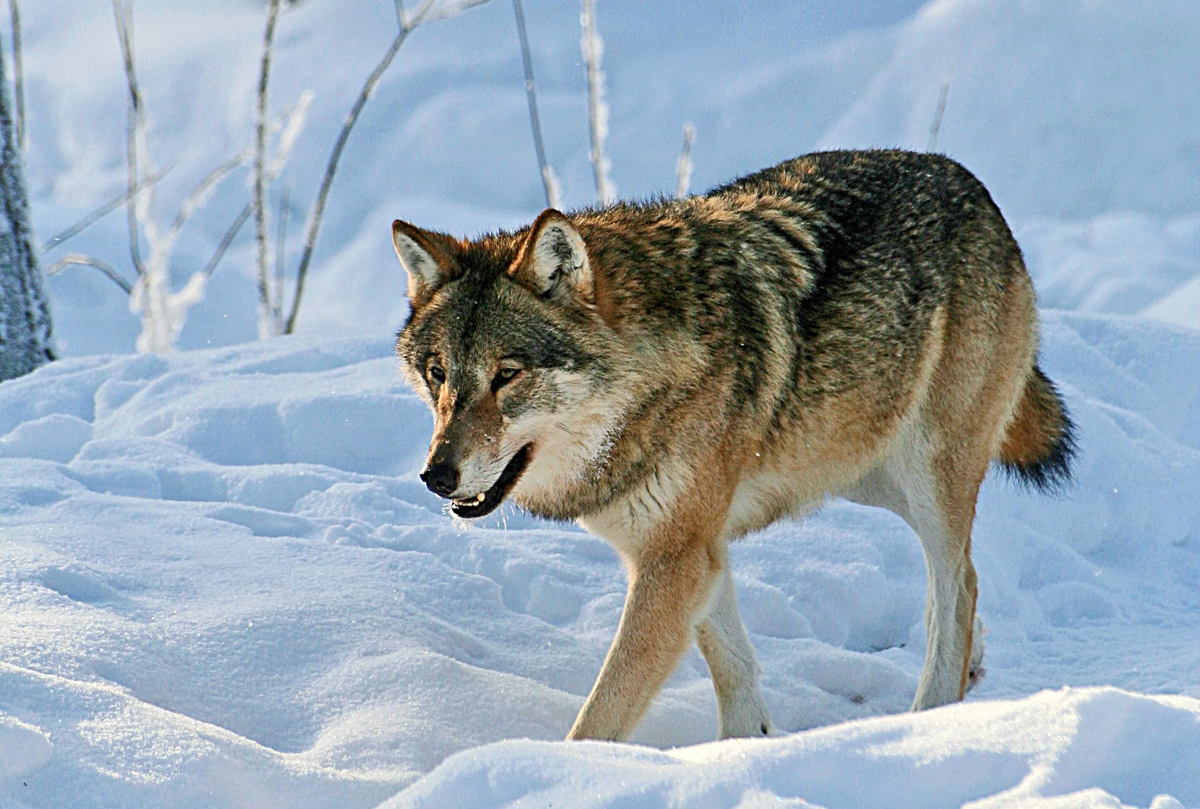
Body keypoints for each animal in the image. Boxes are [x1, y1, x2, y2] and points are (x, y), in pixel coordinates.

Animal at [388, 148, 1075, 739]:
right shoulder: (697, 547)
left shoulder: (675, 559)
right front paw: (742, 751)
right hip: (862, 468)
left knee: (955, 587)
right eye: (438, 374)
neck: (653, 380)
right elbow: (733, 664)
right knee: (963, 579)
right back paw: (972, 668)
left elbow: (602, 714)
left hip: (925, 476)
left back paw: (931, 715)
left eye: (507, 374)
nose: (436, 476)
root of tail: (968, 180)